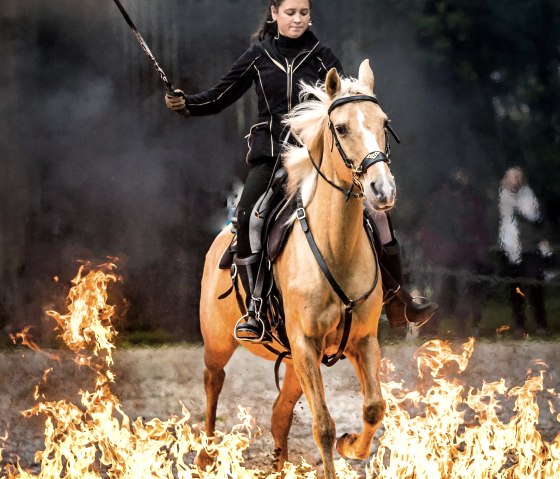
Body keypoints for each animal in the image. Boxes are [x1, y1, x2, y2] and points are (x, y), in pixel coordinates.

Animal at [197, 61, 394, 479]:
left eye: (383, 123)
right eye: (341, 128)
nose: (382, 190)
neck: (336, 248)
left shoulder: (361, 341)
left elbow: (373, 407)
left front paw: (351, 445)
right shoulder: (305, 343)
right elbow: (323, 426)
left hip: (292, 362)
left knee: (279, 413)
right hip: (219, 343)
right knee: (213, 383)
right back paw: (206, 454)